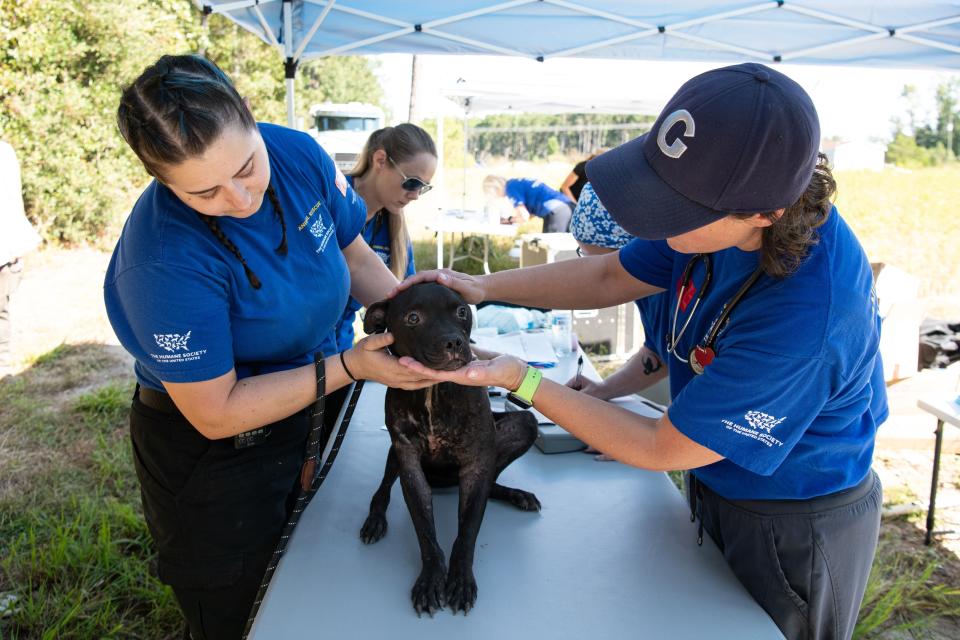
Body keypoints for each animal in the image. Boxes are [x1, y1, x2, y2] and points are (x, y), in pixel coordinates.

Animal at [360, 284, 540, 616]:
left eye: (461, 311)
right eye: (413, 317)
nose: (455, 341)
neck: (433, 391)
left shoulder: (476, 465)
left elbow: (468, 530)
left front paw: (460, 580)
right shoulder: (409, 464)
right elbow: (424, 529)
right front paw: (432, 579)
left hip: (522, 427)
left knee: (492, 483)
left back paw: (516, 495)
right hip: (394, 454)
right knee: (383, 489)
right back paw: (375, 519)